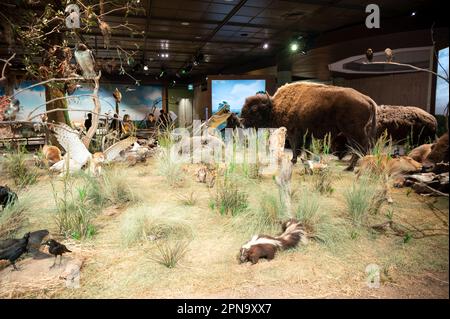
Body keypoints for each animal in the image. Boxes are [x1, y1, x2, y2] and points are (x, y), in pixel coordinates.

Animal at [241, 84, 378, 171]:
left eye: (254, 109)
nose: (241, 121)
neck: (274, 106)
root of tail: (367, 99)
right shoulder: (307, 134)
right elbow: (307, 149)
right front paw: (307, 161)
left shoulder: (294, 132)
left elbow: (296, 147)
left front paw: (293, 161)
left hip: (353, 132)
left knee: (361, 148)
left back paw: (349, 168)